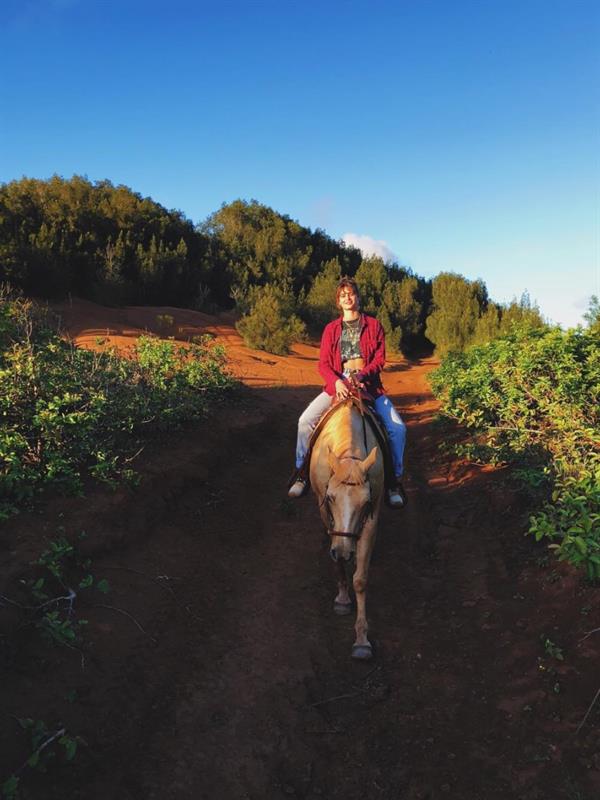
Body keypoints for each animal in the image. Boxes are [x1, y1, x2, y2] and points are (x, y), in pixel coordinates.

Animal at [310, 396, 384, 660]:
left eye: (364, 503)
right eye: (331, 497)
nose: (344, 550)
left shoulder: (372, 517)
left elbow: (360, 579)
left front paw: (361, 640)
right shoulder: (325, 513)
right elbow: (337, 559)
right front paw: (342, 599)